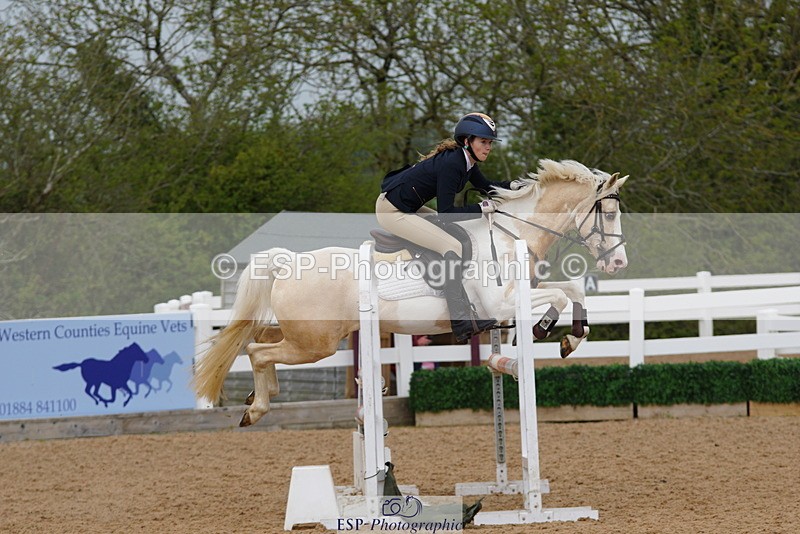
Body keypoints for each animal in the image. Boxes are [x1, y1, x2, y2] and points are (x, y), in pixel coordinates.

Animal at [194, 159, 629, 426]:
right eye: (608, 214)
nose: (618, 264)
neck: (512, 234)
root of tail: (288, 263)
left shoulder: (524, 290)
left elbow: (571, 288)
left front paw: (573, 337)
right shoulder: (501, 304)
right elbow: (557, 298)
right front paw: (545, 329)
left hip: (309, 336)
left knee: (259, 342)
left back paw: (257, 396)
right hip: (316, 343)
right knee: (257, 350)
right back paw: (258, 408)